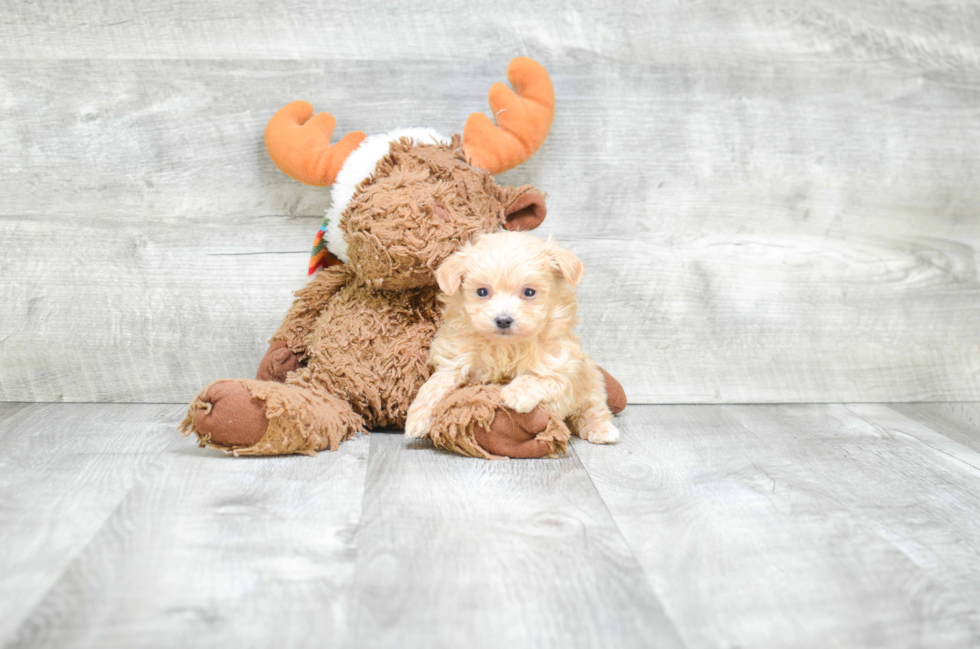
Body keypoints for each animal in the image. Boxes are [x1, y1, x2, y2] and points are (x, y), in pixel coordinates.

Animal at [406, 232, 620, 446]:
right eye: (482, 292)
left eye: (529, 292)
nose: (503, 320)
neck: (505, 346)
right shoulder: (455, 359)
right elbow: (436, 383)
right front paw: (417, 419)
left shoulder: (562, 366)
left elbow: (541, 378)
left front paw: (515, 393)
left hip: (590, 382)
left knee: (593, 407)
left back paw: (602, 430)